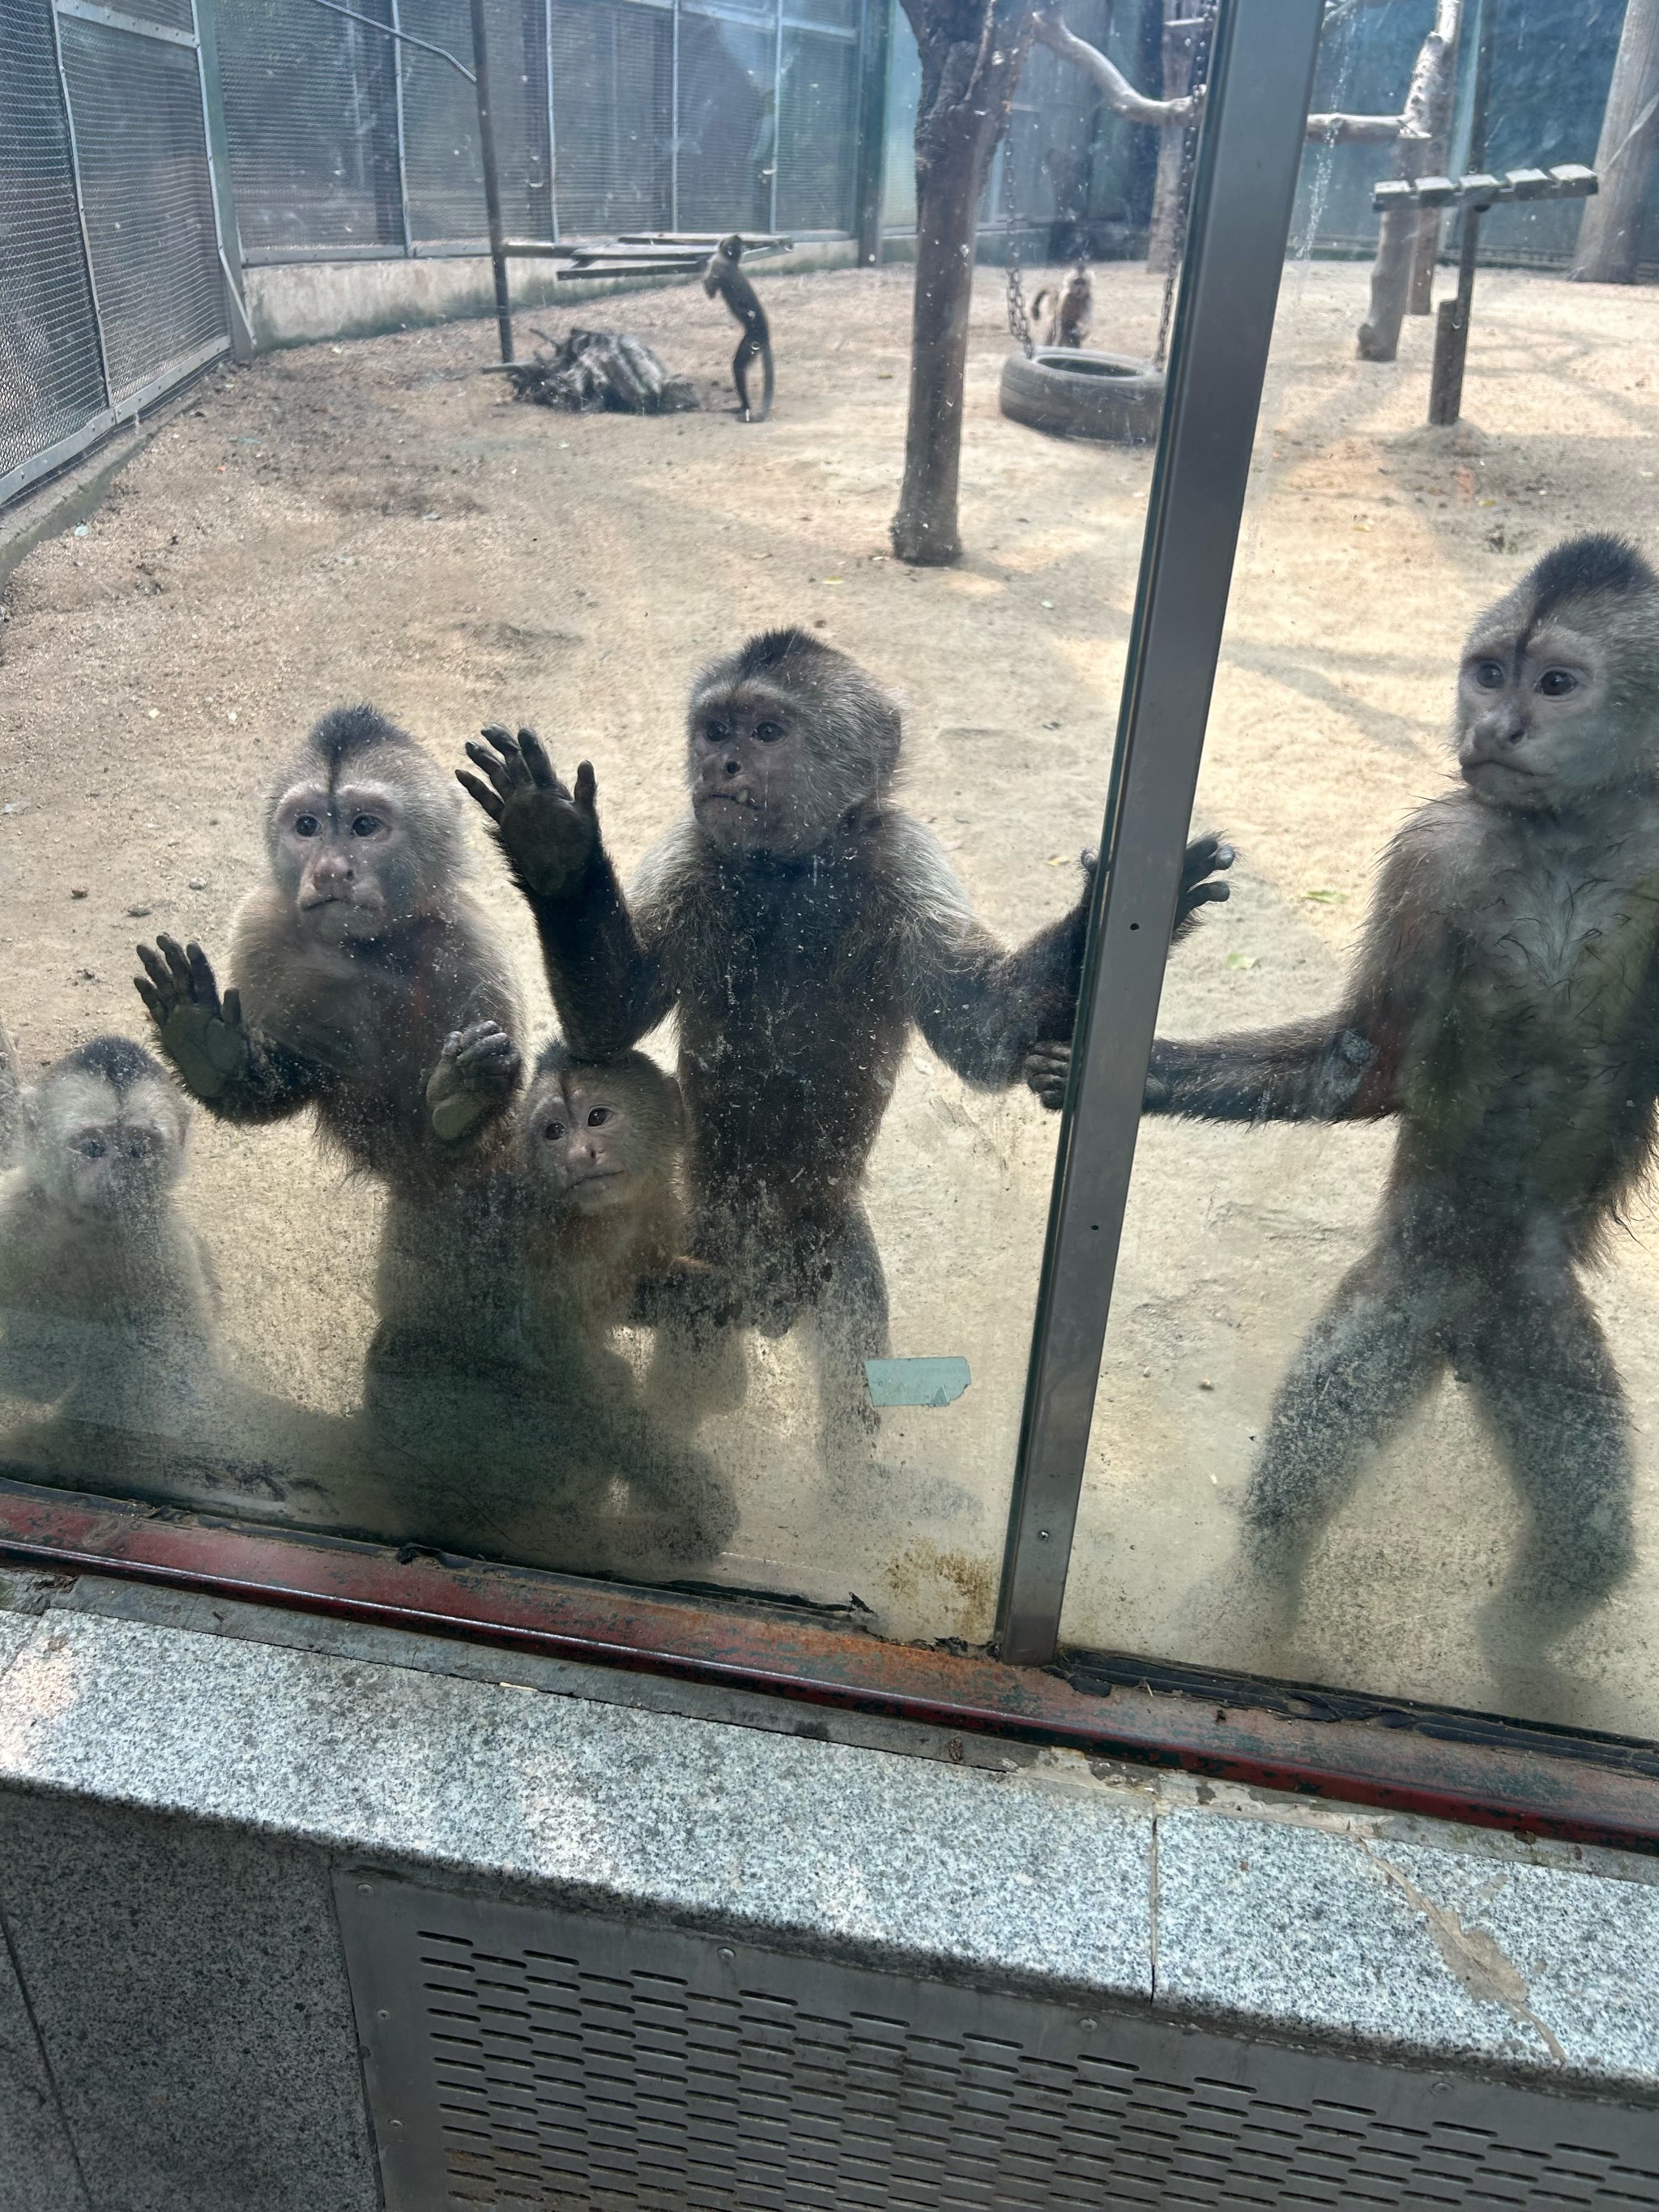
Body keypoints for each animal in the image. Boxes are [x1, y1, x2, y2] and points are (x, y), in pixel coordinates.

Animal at [137, 703, 526, 1194]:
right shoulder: (261, 932)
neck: (367, 952)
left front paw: (462, 1099)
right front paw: (205, 1043)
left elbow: (457, 1155)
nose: (329, 871)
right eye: (307, 826)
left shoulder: (469, 947)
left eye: (364, 826)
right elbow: (290, 1074)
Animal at [458, 623, 1239, 1459]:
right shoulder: (697, 846)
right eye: (716, 730)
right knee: (693, 1366)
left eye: (767, 733)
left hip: (823, 1246)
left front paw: (1141, 901)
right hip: (689, 1239)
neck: (795, 867)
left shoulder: (899, 853)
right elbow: (609, 1020)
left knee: (851, 1376)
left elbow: (987, 1030)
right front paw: (555, 850)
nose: (721, 766)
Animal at [703, 235, 778, 425]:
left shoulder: (718, 264)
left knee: (738, 366)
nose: (718, 242)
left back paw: (745, 407)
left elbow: (710, 292)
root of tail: (765, 333)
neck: (730, 261)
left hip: (754, 340)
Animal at [1039, 540, 1659, 1689]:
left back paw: (1517, 1641)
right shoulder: (1435, 854)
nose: (1493, 729)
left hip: (1529, 1321)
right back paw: (1261, 1606)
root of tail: (1459, 1322)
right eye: (1486, 674)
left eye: (1554, 684)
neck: (1567, 836)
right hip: (1402, 1297)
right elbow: (1358, 1064)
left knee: (1586, 1540)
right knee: (1307, 1464)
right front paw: (1135, 1067)